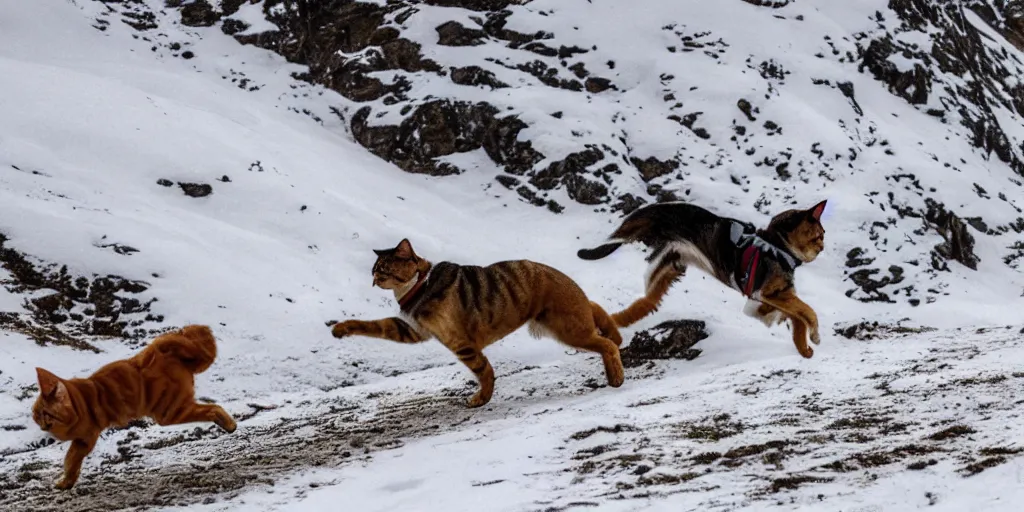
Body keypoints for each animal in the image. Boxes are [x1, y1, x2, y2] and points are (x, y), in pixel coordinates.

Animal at [30, 325, 235, 489]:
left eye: (45, 414)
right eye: (35, 415)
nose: (41, 425)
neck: (79, 401)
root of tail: (162, 349)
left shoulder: (86, 438)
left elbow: (71, 461)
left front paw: (65, 482)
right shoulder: (80, 440)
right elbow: (69, 460)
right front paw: (66, 481)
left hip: (169, 413)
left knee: (213, 408)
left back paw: (229, 425)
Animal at [331, 237, 626, 405]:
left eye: (383, 269)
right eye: (374, 269)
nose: (373, 278)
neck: (420, 286)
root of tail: (566, 278)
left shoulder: (461, 343)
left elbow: (484, 371)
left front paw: (481, 399)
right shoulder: (411, 330)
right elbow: (374, 325)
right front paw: (341, 329)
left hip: (568, 328)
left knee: (607, 344)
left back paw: (617, 378)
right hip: (566, 322)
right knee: (599, 314)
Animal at [581, 197, 827, 358]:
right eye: (819, 235)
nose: (823, 248)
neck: (777, 247)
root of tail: (660, 206)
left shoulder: (768, 298)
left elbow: (798, 319)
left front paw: (804, 349)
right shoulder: (768, 292)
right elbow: (808, 312)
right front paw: (814, 337)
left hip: (668, 269)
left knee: (645, 303)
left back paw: (614, 322)